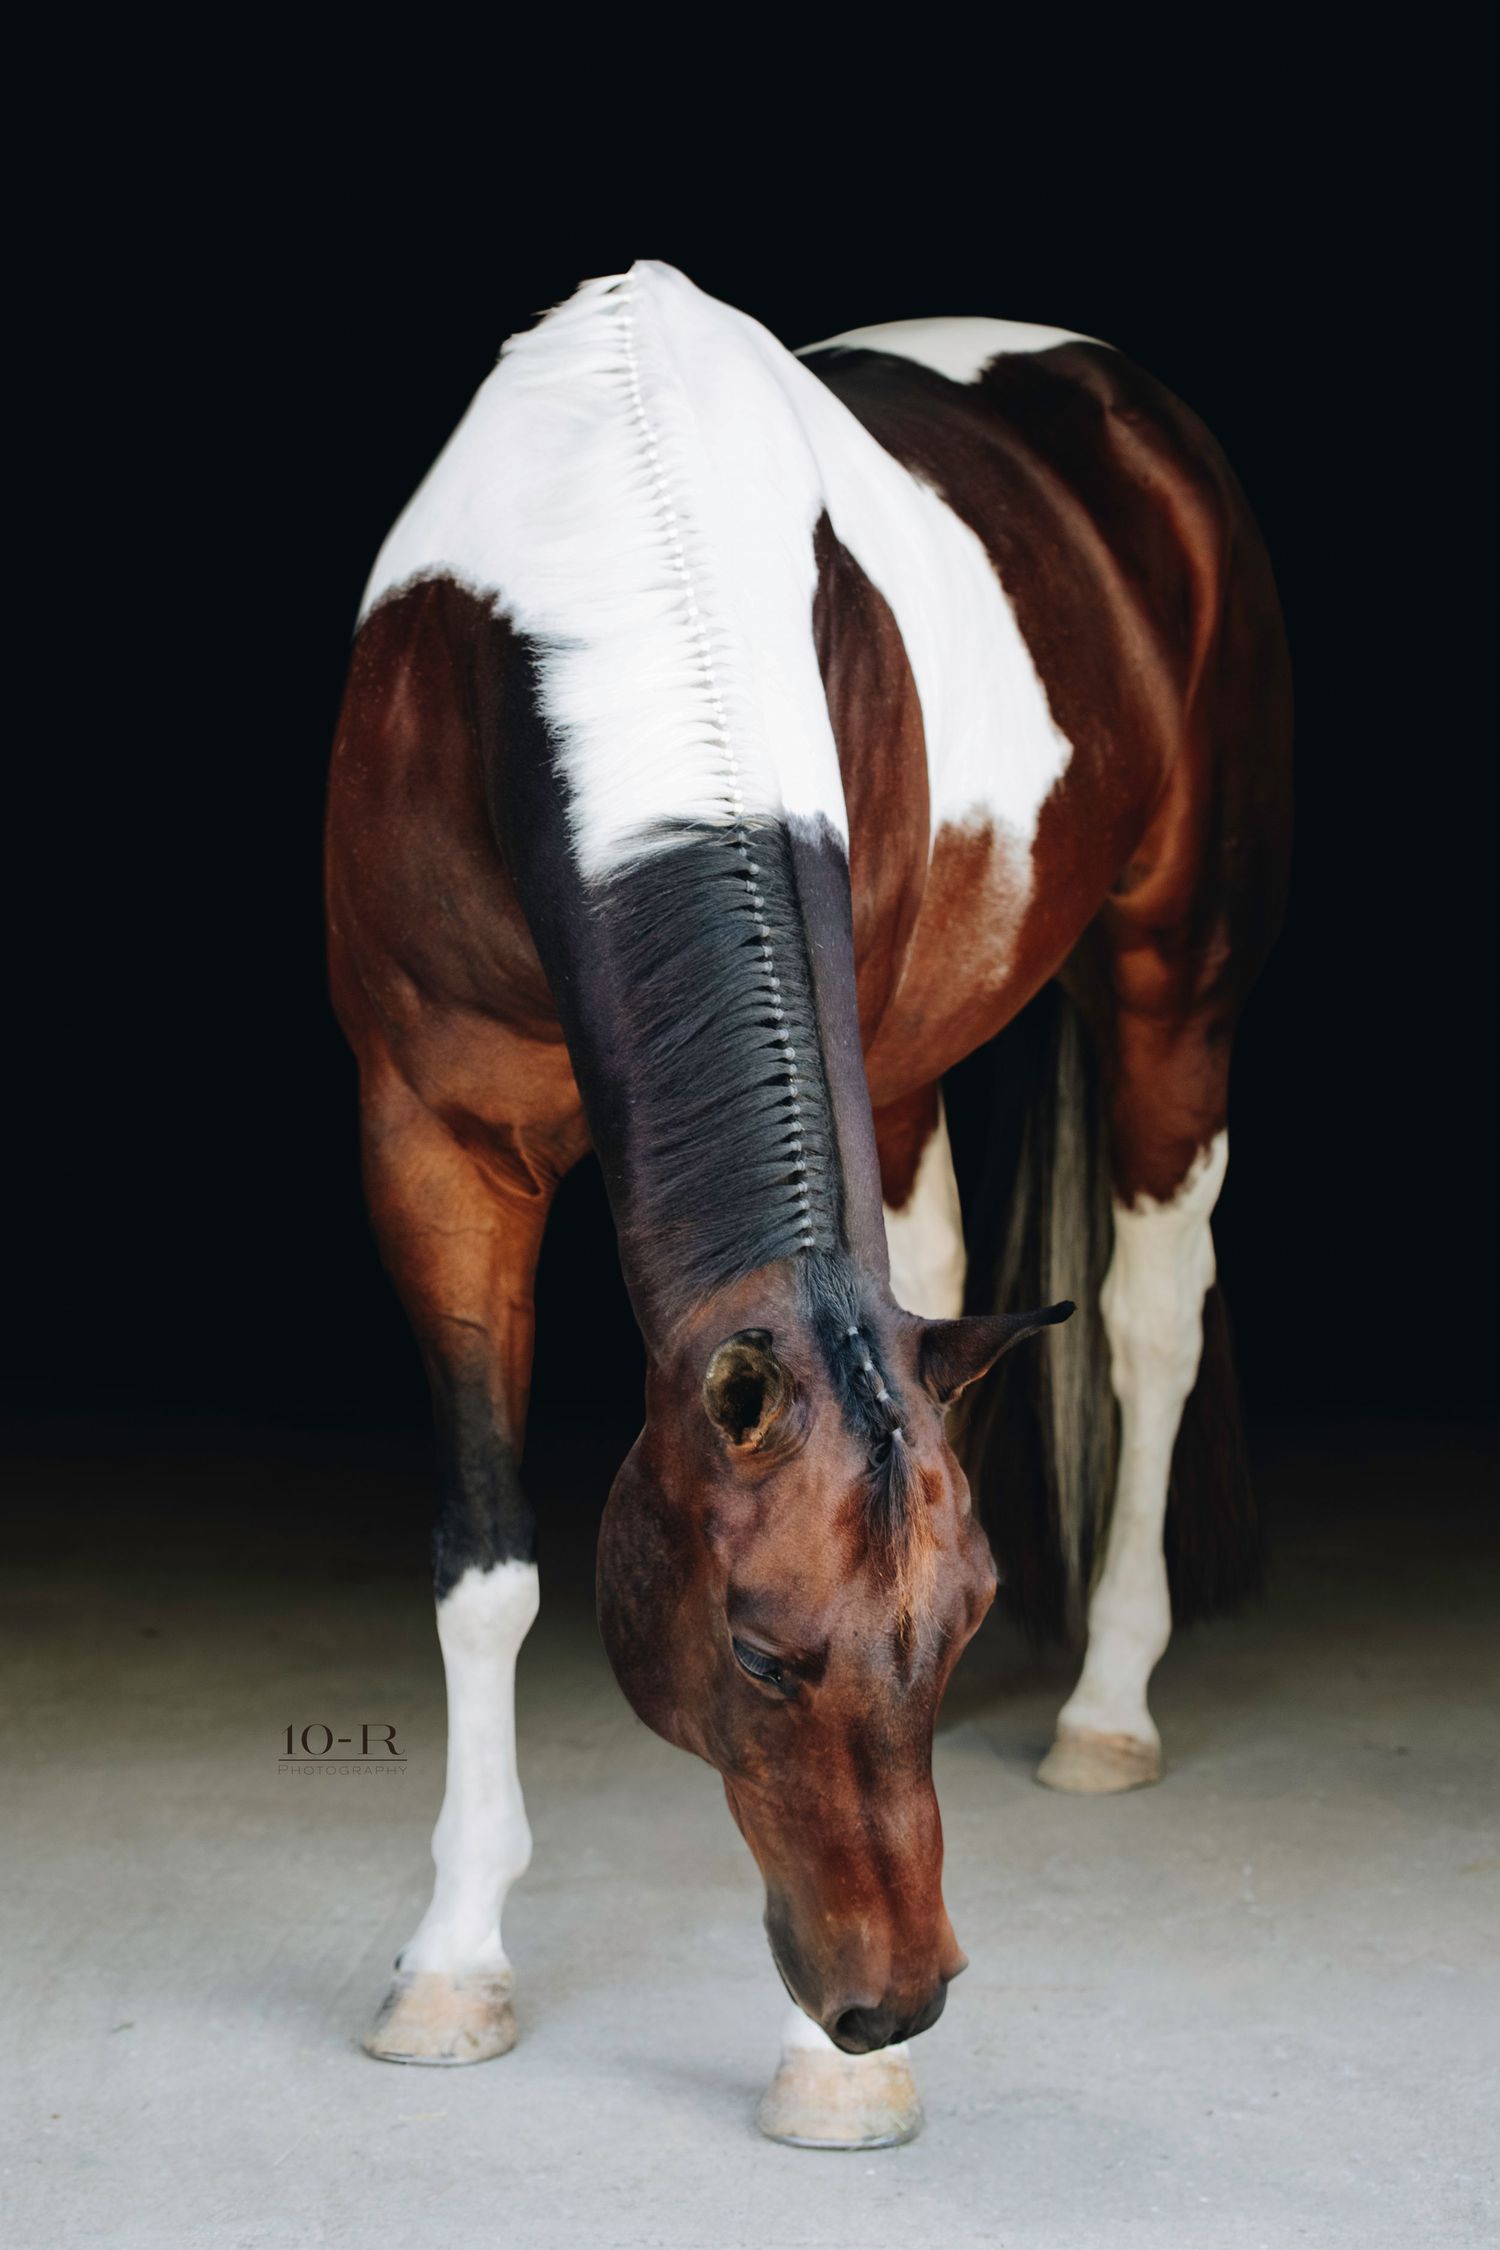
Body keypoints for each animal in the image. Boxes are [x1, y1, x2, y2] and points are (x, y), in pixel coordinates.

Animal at [325, 261, 1292, 2148]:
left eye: (959, 1625)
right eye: (762, 1657)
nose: (891, 2002)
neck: (619, 538)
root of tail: (1129, 403)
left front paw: (829, 2080)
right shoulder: (430, 1143)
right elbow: (486, 1567)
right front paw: (453, 1964)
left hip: (1177, 977)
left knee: (1149, 1323)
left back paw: (1109, 1706)